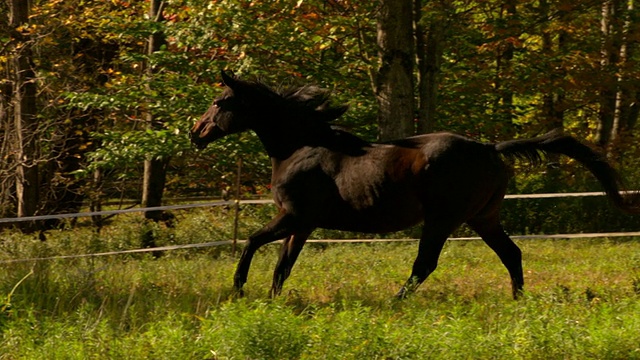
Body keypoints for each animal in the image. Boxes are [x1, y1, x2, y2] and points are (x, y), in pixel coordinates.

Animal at [190, 70, 640, 298]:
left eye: (220, 102)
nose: (195, 133)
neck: (302, 146)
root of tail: (490, 148)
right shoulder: (301, 225)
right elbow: (283, 268)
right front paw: (269, 304)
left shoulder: (294, 217)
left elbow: (252, 243)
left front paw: (237, 290)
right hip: (483, 217)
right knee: (512, 254)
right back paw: (519, 302)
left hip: (443, 219)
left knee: (425, 265)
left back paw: (392, 305)